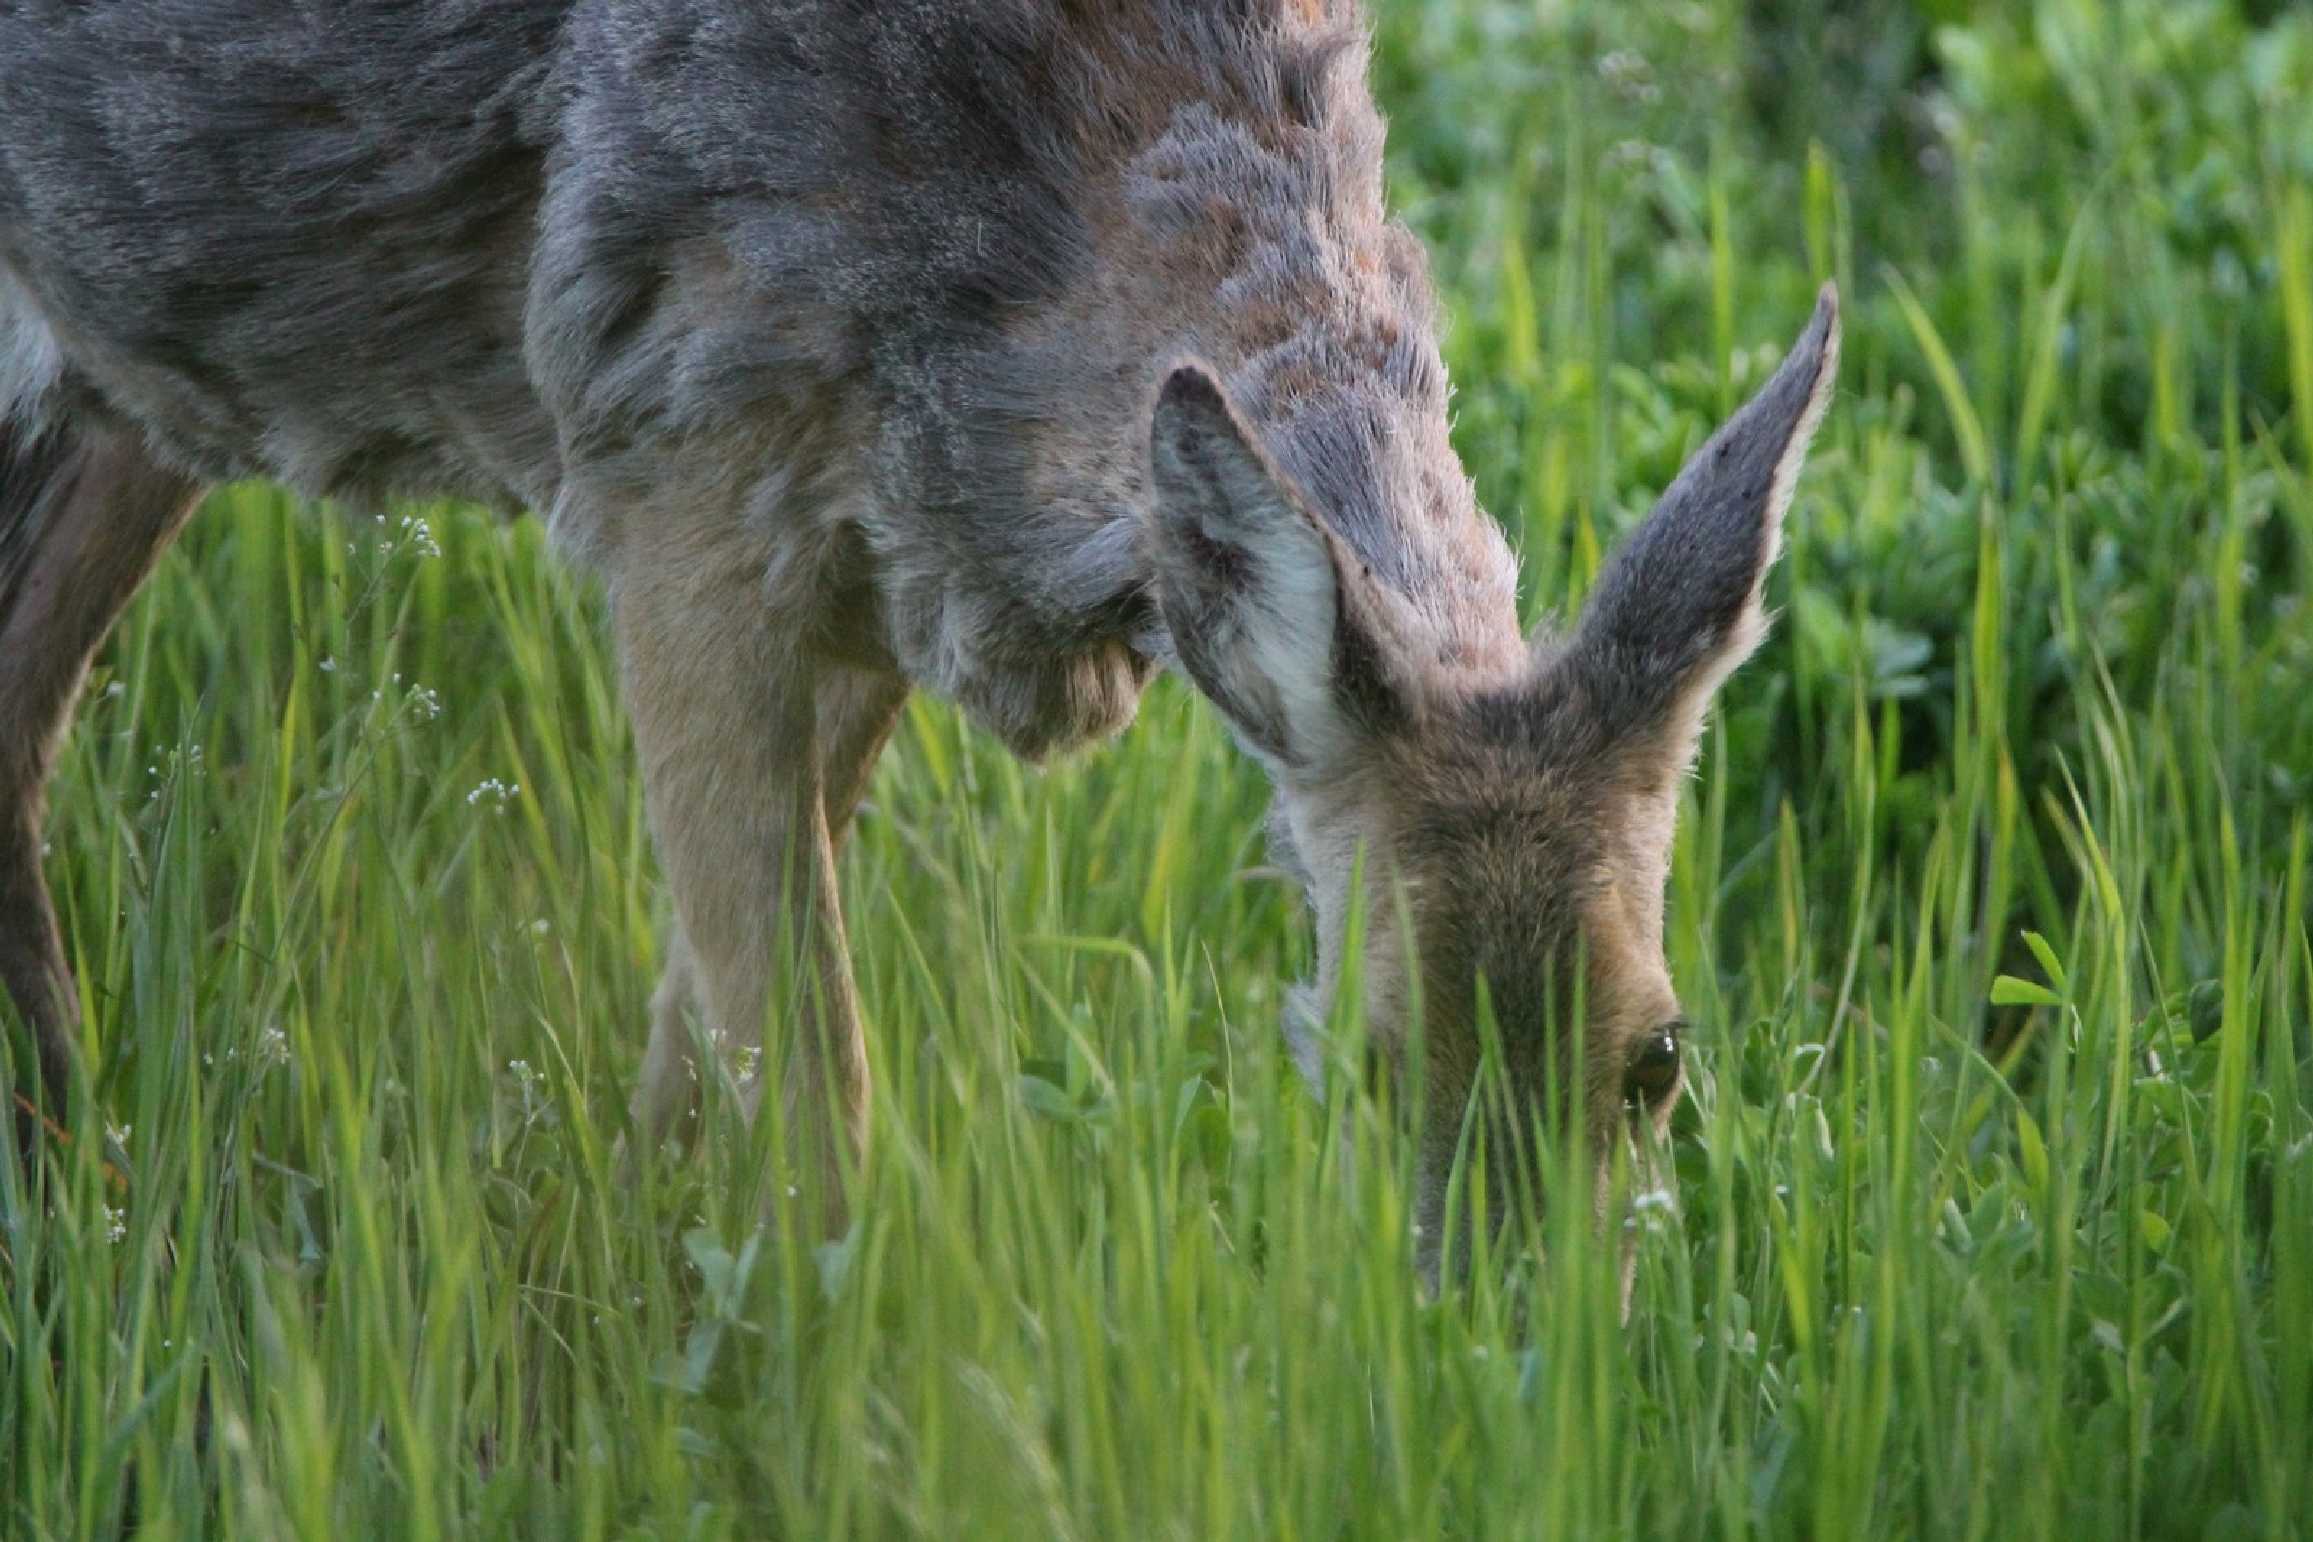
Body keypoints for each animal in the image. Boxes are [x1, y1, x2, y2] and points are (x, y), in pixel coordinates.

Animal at [4, 0, 1841, 1294]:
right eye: (1371, 1065)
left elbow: (693, 1054)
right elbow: (819, 1109)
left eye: (1659, 1054)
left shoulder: (882, 582)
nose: (1520, 1357)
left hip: (118, 378)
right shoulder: (678, 479)